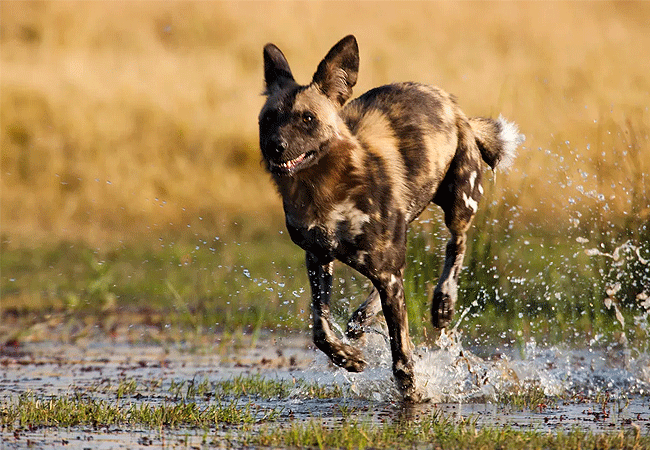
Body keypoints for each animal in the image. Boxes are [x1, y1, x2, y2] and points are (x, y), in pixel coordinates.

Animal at [256, 36, 520, 400]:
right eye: (269, 118)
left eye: (307, 118)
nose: (274, 147)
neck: (323, 191)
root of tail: (450, 103)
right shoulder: (318, 259)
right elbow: (320, 328)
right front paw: (347, 358)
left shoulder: (383, 270)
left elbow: (402, 356)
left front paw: (411, 396)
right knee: (388, 285)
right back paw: (362, 318)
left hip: (459, 202)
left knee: (458, 242)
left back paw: (443, 302)